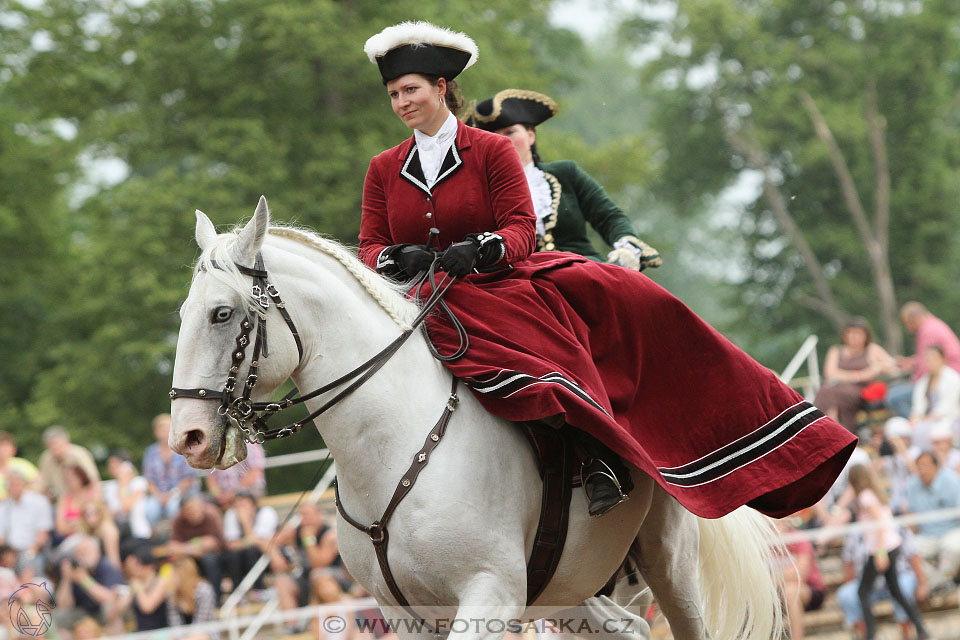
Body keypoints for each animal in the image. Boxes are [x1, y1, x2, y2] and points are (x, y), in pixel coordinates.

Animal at [171, 198, 788, 636]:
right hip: (570, 587)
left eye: (222, 313)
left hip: (668, 563)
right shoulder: (409, 616)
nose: (188, 438)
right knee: (629, 628)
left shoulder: (490, 593)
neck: (397, 448)